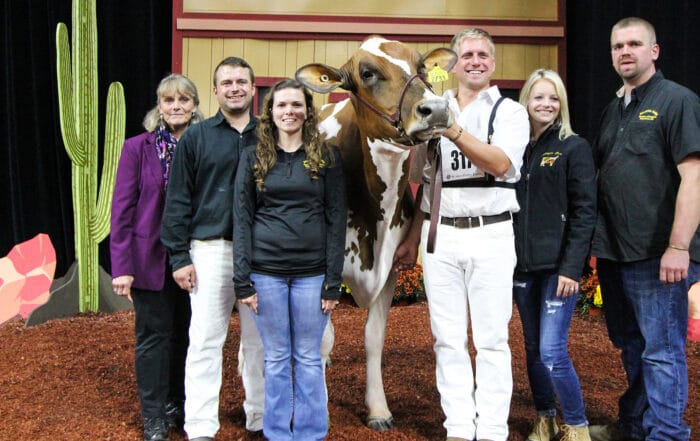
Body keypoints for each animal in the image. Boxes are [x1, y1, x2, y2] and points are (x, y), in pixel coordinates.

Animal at [296, 36, 456, 428]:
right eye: (367, 73)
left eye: (422, 66)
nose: (435, 109)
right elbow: (322, 335)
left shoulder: (391, 269)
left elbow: (373, 338)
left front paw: (378, 408)